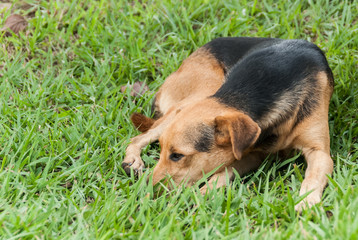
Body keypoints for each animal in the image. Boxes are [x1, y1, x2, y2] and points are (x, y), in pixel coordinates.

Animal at [121, 36, 334, 211]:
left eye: (177, 156)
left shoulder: (319, 153)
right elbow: (221, 173)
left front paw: (306, 202)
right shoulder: (249, 153)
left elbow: (312, 178)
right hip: (200, 92)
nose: (143, 191)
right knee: (138, 137)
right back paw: (133, 160)